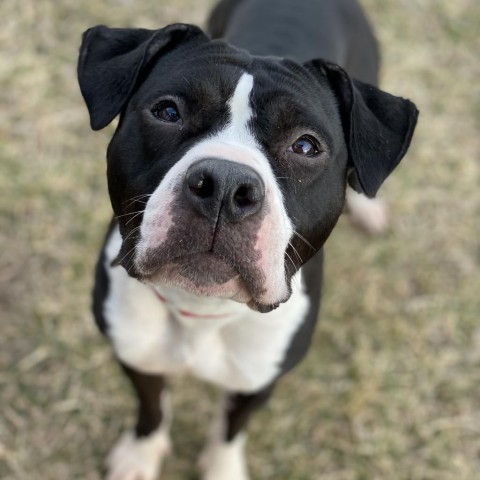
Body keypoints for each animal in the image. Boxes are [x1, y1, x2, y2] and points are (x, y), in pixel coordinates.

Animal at [78, 1, 416, 478]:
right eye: (168, 112)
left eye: (306, 146)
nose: (224, 184)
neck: (202, 307)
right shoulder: (134, 351)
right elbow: (152, 407)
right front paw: (140, 455)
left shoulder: (260, 380)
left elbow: (230, 428)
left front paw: (222, 468)